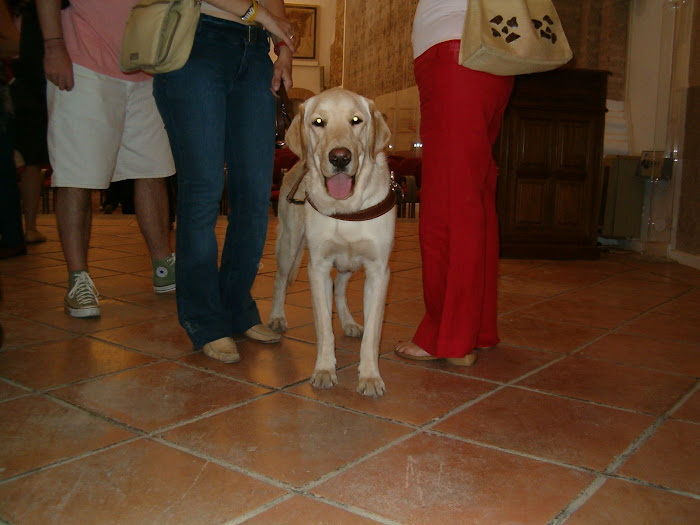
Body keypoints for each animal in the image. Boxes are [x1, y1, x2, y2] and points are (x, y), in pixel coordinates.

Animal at [270, 87, 394, 398]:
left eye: (356, 120)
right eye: (318, 122)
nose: (340, 158)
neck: (347, 208)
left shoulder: (378, 271)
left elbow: (373, 334)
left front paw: (370, 376)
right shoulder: (318, 268)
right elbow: (324, 327)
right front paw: (325, 370)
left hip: (349, 264)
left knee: (340, 289)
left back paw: (349, 322)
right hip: (290, 244)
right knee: (280, 280)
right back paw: (276, 317)